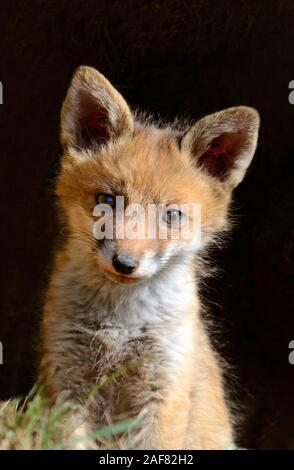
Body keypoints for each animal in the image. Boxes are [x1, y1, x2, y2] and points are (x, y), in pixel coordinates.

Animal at [39, 65, 260, 448]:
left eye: (171, 216)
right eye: (107, 201)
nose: (125, 263)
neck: (121, 323)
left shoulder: (165, 387)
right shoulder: (66, 378)